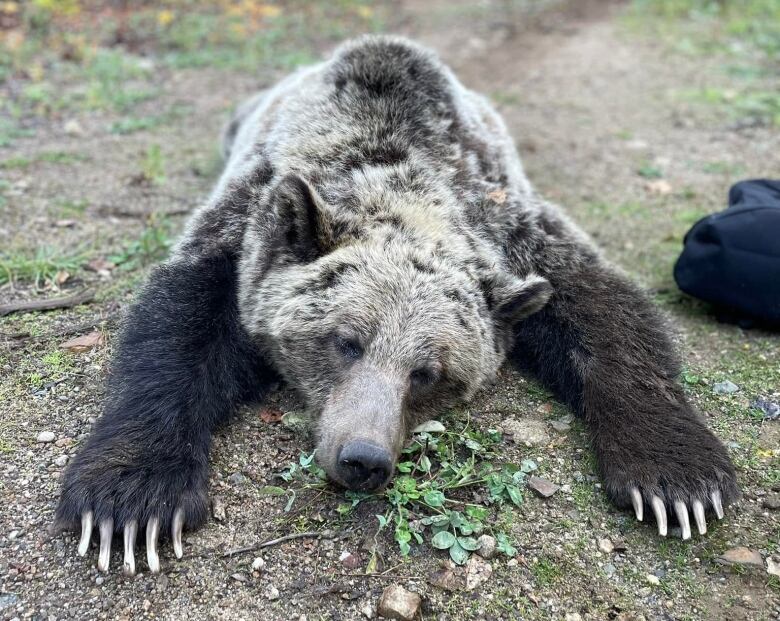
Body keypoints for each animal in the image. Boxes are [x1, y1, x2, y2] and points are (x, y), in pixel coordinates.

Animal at [53, 36, 736, 572]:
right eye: (345, 342)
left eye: (427, 372)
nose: (364, 458)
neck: (397, 170)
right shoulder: (247, 220)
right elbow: (177, 326)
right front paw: (132, 503)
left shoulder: (511, 225)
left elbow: (606, 313)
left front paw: (676, 482)